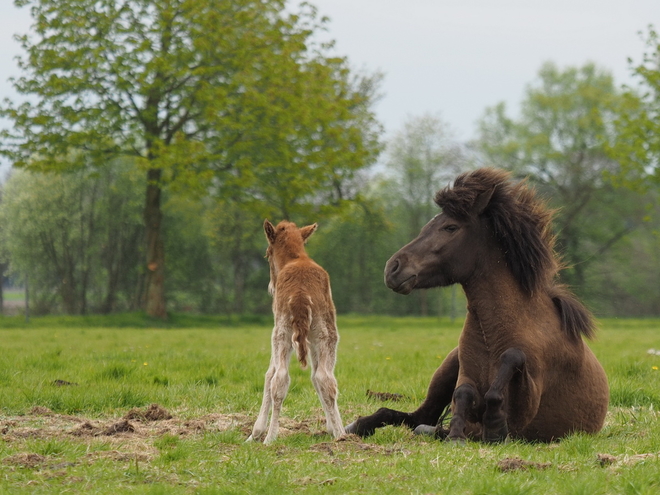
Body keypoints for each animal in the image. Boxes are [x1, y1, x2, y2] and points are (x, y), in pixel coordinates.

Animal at [245, 221, 342, 446]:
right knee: (325, 378)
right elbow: (315, 377)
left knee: (279, 378)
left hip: (283, 331)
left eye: (267, 253)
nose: (271, 287)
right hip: (324, 331)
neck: (297, 258)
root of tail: (300, 294)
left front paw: (255, 433)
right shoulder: (312, 339)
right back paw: (342, 435)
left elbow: (269, 374)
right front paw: (330, 428)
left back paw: (270, 438)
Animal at [346, 169, 608, 444]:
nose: (393, 268)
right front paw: (459, 433)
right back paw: (361, 424)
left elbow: (510, 361)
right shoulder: (466, 377)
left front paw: (492, 426)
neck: (494, 330)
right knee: (417, 417)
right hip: (449, 363)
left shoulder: (525, 409)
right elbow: (463, 393)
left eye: (450, 227)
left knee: (421, 421)